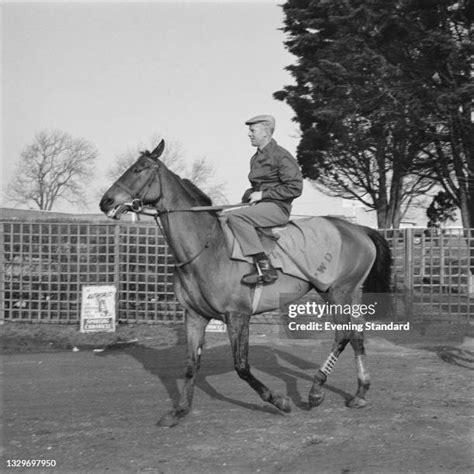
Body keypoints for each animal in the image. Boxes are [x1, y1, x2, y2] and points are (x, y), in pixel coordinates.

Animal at [98, 139, 390, 428]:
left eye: (139, 169)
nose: (105, 201)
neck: (207, 247)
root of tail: (359, 230)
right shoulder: (195, 316)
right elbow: (191, 364)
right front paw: (179, 411)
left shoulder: (237, 316)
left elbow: (241, 367)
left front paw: (279, 401)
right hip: (347, 294)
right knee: (357, 335)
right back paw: (360, 393)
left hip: (336, 292)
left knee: (343, 335)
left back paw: (316, 391)